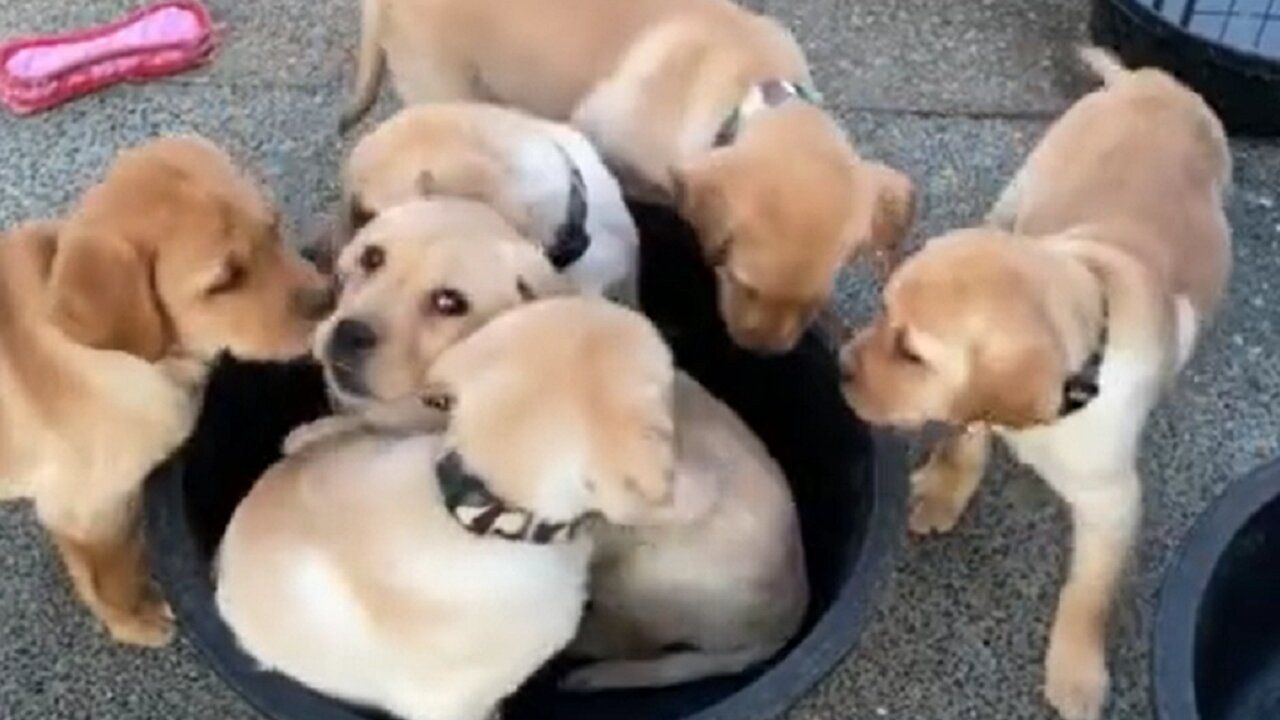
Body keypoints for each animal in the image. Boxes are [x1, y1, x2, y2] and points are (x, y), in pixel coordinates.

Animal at [1, 135, 330, 645]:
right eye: (224, 280)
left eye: (274, 227)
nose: (330, 298)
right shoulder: (87, 509)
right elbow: (107, 574)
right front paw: (134, 620)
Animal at [839, 47, 1228, 712]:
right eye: (882, 311)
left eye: (912, 354)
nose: (840, 365)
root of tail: (1151, 81)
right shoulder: (980, 409)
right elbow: (967, 437)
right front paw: (946, 488)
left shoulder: (1113, 500)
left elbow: (1087, 593)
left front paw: (1076, 674)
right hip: (1026, 179)